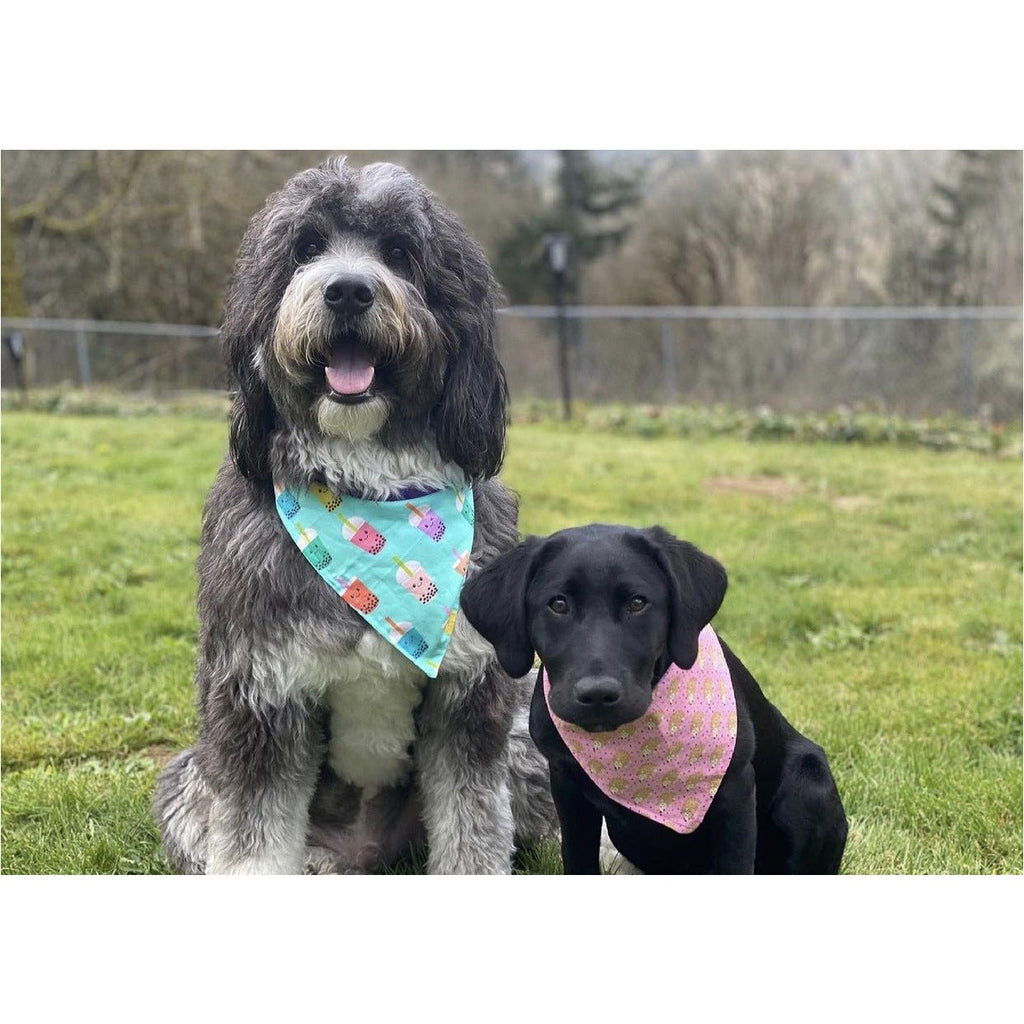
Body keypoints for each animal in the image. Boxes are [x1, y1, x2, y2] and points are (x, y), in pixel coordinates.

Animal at [152, 157, 557, 872]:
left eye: (399, 252)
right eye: (305, 248)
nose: (346, 291)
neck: (369, 491)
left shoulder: (470, 700)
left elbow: (475, 828)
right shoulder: (261, 695)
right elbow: (253, 842)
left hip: (520, 739)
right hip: (188, 782)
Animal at [462, 528, 847, 872]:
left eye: (637, 603)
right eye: (558, 604)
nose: (598, 694)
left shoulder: (734, 791)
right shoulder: (567, 786)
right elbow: (578, 860)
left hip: (808, 783)